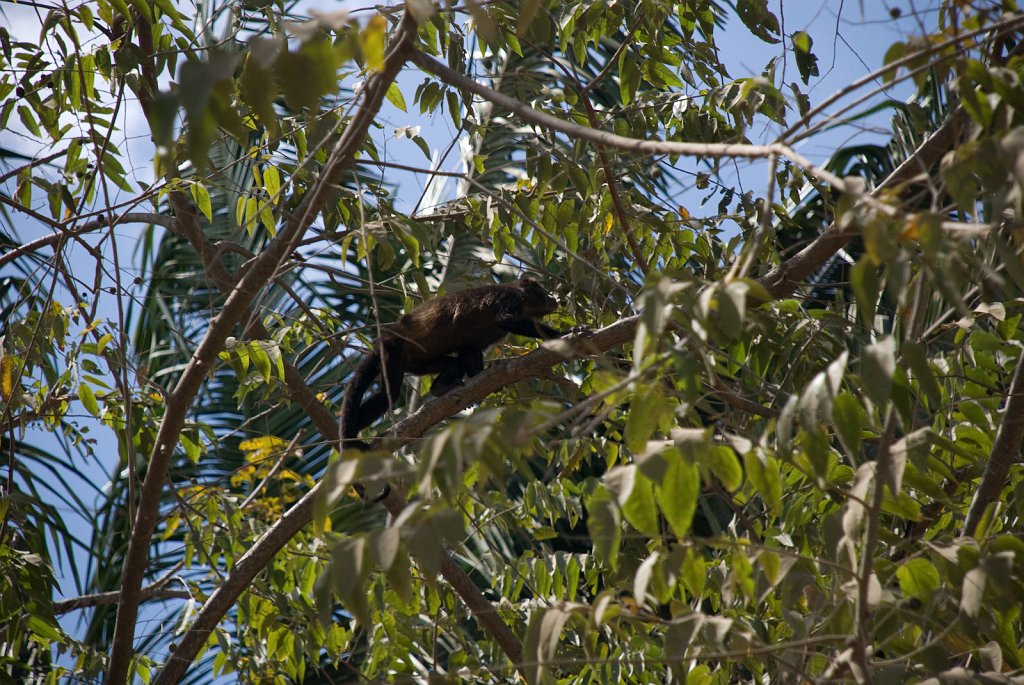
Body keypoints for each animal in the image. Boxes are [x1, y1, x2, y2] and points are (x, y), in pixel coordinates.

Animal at [339, 278, 565, 452]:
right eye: (543, 292)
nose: (554, 299)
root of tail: (384, 339)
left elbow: (470, 349)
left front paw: (481, 377)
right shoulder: (510, 297)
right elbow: (505, 319)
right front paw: (560, 334)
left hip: (415, 363)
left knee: (453, 364)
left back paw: (440, 388)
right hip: (393, 349)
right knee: (389, 394)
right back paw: (354, 438)